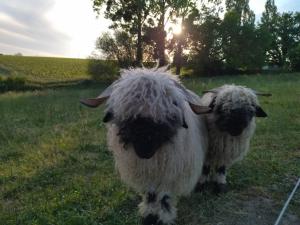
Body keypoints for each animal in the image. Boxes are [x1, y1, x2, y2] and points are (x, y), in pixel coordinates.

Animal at [79, 67, 211, 225]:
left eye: (170, 108)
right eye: (127, 113)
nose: (144, 148)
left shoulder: (170, 172)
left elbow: (164, 196)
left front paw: (163, 217)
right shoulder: (146, 173)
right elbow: (151, 194)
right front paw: (149, 215)